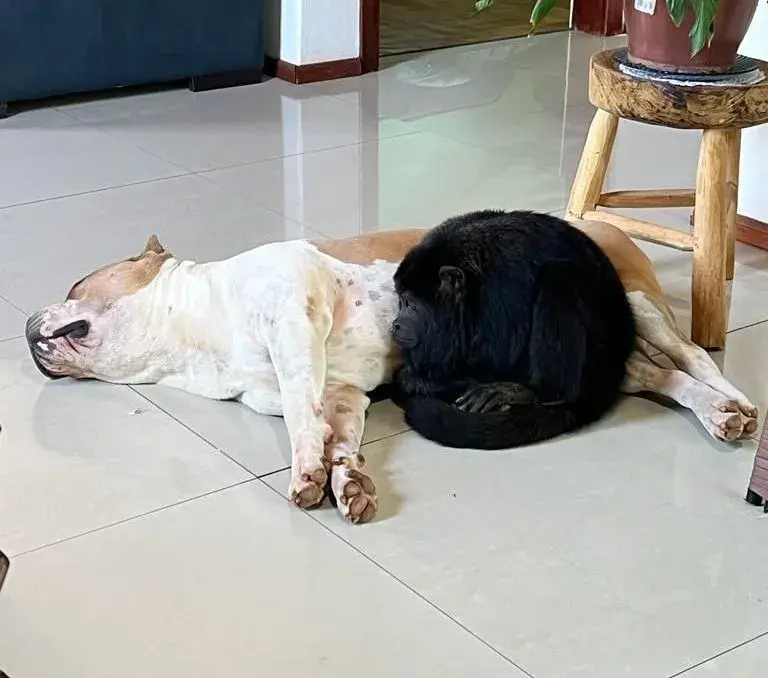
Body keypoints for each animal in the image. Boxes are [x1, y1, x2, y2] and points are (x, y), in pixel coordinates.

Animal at [391, 210, 636, 450]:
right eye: (400, 300)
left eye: (411, 304)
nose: (396, 324)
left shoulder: (501, 291)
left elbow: (499, 360)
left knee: (560, 276)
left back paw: (533, 391)